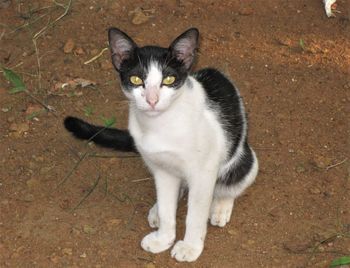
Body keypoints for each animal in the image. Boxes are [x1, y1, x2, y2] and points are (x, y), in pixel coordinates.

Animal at [64, 27, 258, 262]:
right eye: (136, 79)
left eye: (168, 79)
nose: (152, 100)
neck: (160, 126)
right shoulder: (162, 170)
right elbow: (167, 209)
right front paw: (163, 238)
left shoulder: (203, 173)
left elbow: (195, 214)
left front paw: (190, 247)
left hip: (244, 160)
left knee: (232, 183)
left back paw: (220, 205)